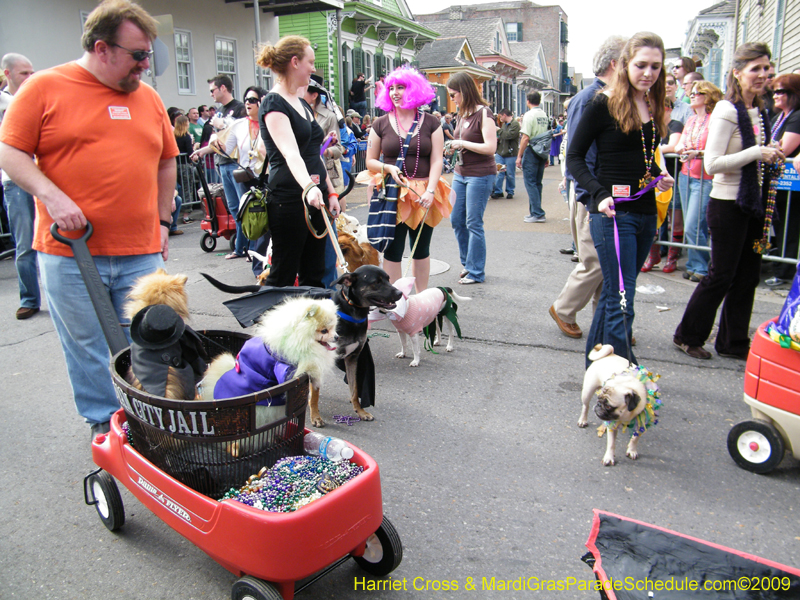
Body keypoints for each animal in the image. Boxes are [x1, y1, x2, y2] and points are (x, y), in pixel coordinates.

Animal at [202, 294, 340, 426]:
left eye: (334, 328)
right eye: (324, 330)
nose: (337, 337)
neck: (300, 337)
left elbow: (314, 394)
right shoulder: (285, 368)